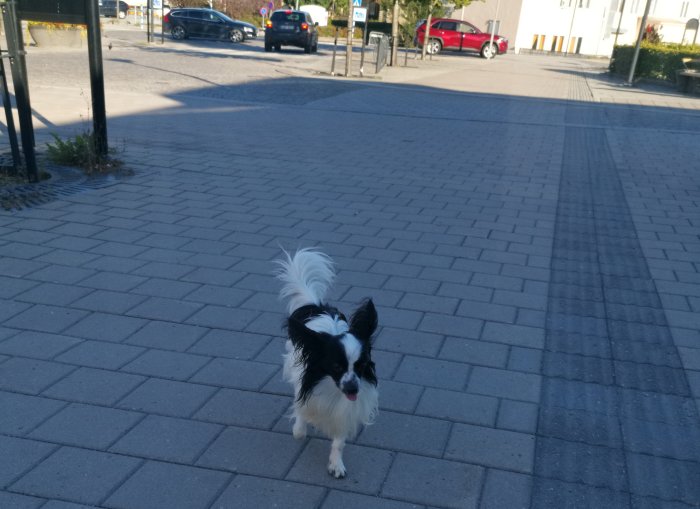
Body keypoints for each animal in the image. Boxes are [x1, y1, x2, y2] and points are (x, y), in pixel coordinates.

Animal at [276, 248, 380, 478]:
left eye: (361, 366)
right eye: (336, 367)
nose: (352, 388)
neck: (332, 388)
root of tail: (317, 306)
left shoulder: (347, 410)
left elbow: (339, 441)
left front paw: (336, 464)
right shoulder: (304, 386)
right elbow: (301, 414)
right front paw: (300, 429)